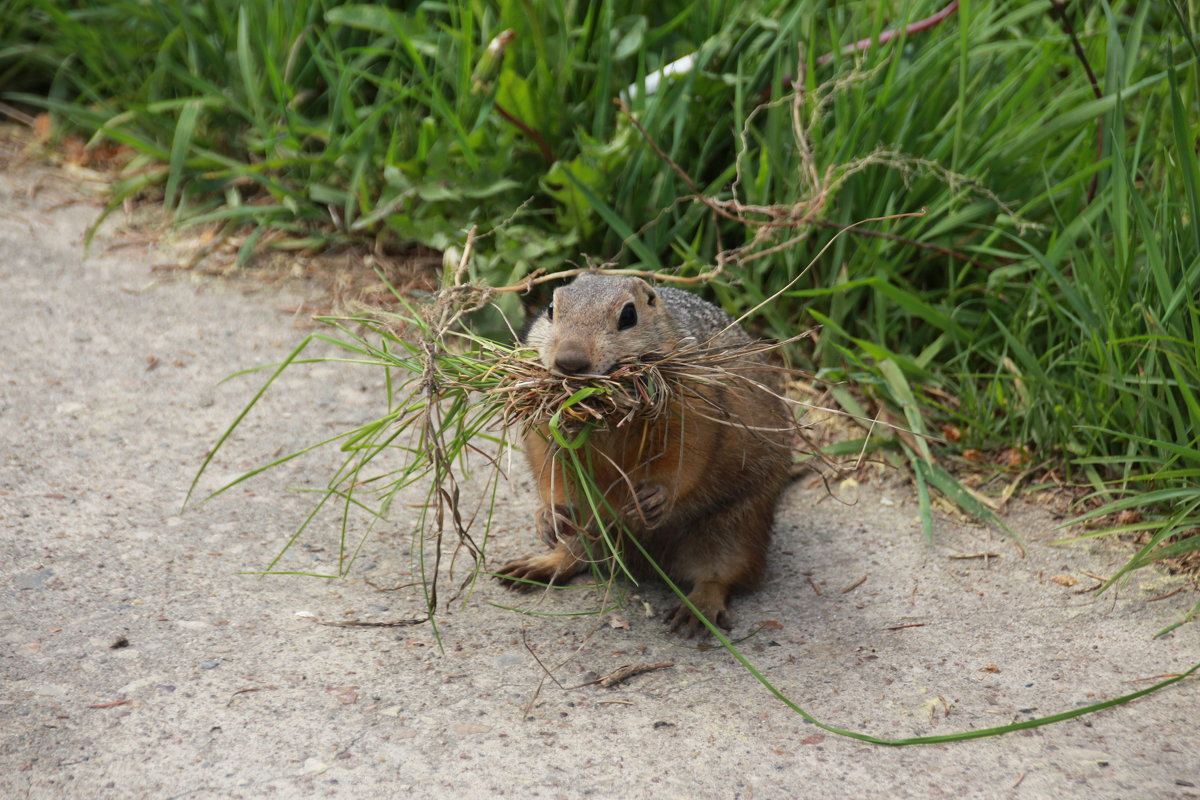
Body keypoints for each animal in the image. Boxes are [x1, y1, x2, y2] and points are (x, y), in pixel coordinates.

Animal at [496, 272, 796, 633]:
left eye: (629, 315)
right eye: (551, 309)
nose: (569, 361)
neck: (603, 415)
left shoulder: (693, 404)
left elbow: (687, 454)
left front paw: (654, 497)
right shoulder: (545, 424)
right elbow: (548, 468)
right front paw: (549, 514)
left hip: (737, 527)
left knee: (721, 576)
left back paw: (697, 609)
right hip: (591, 525)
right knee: (577, 554)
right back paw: (538, 565)